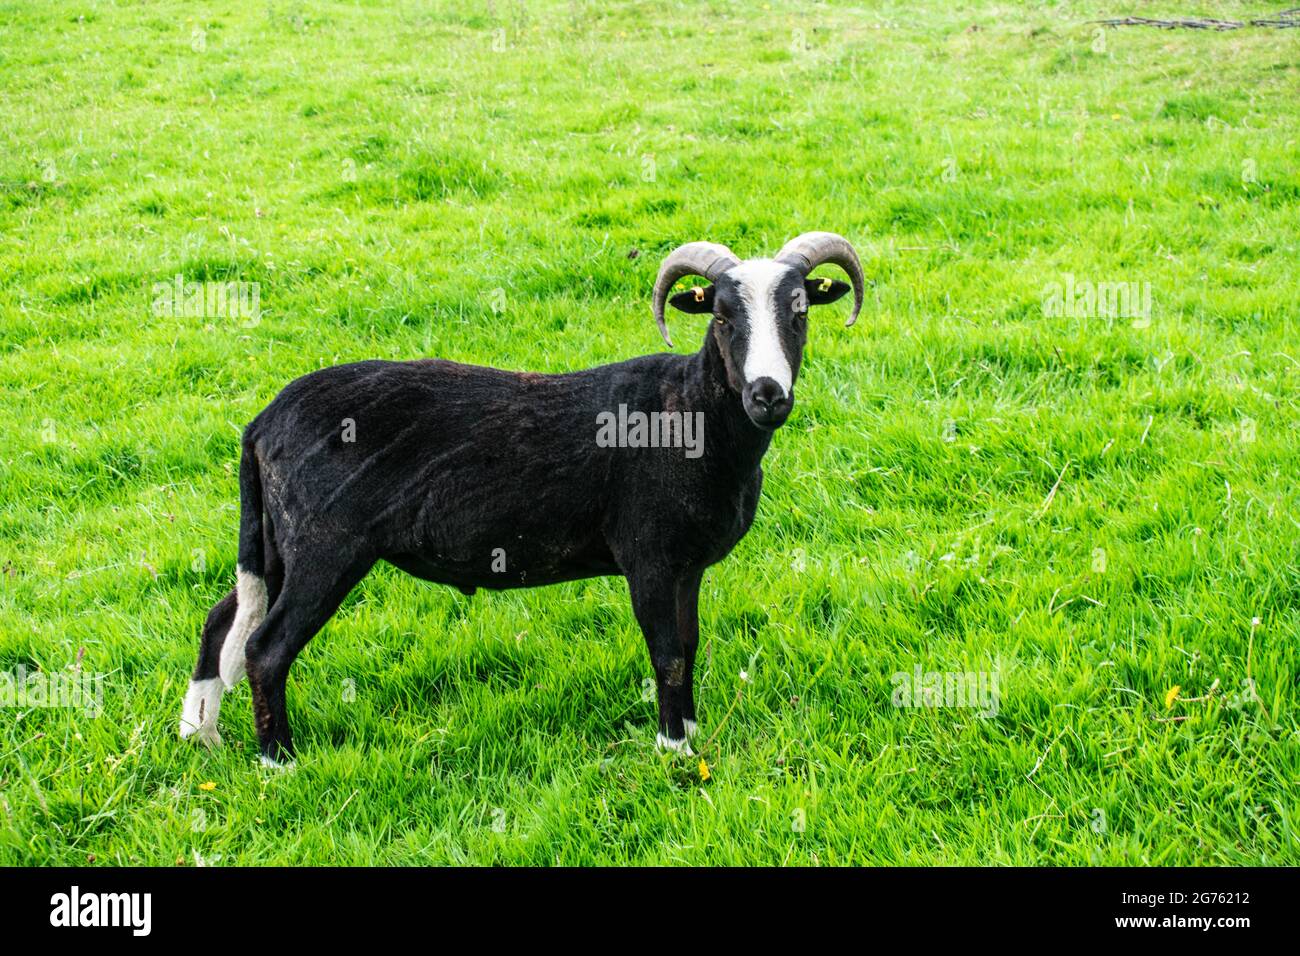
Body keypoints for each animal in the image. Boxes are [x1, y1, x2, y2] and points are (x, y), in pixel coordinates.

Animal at [179, 231, 864, 765]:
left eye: (800, 311)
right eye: (721, 317)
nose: (768, 394)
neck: (689, 413)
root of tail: (261, 423)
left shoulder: (687, 565)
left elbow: (689, 645)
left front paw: (689, 730)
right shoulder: (649, 556)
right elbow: (667, 652)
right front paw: (675, 750)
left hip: (276, 540)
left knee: (223, 618)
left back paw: (200, 734)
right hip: (325, 544)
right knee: (266, 647)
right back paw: (279, 761)